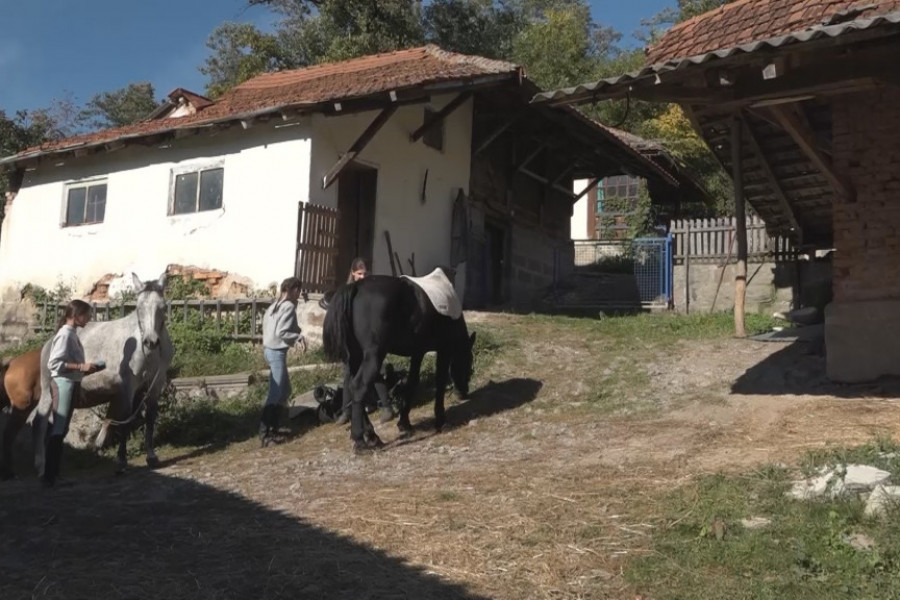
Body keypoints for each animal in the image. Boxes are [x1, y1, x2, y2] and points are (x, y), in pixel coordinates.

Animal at [32, 272, 173, 474]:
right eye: (139, 308)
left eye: (162, 307)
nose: (150, 341)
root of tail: (49, 342)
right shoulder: (128, 386)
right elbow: (126, 419)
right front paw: (121, 461)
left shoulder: (157, 382)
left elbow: (150, 417)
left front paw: (152, 457)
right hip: (48, 391)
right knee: (40, 423)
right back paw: (40, 465)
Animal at [324, 274, 478, 452]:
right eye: (469, 365)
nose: (464, 392)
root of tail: (356, 286)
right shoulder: (443, 349)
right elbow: (439, 382)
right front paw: (440, 421)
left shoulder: (418, 352)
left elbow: (412, 382)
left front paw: (404, 423)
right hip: (373, 355)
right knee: (359, 387)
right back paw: (360, 440)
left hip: (355, 358)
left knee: (351, 387)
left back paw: (372, 436)